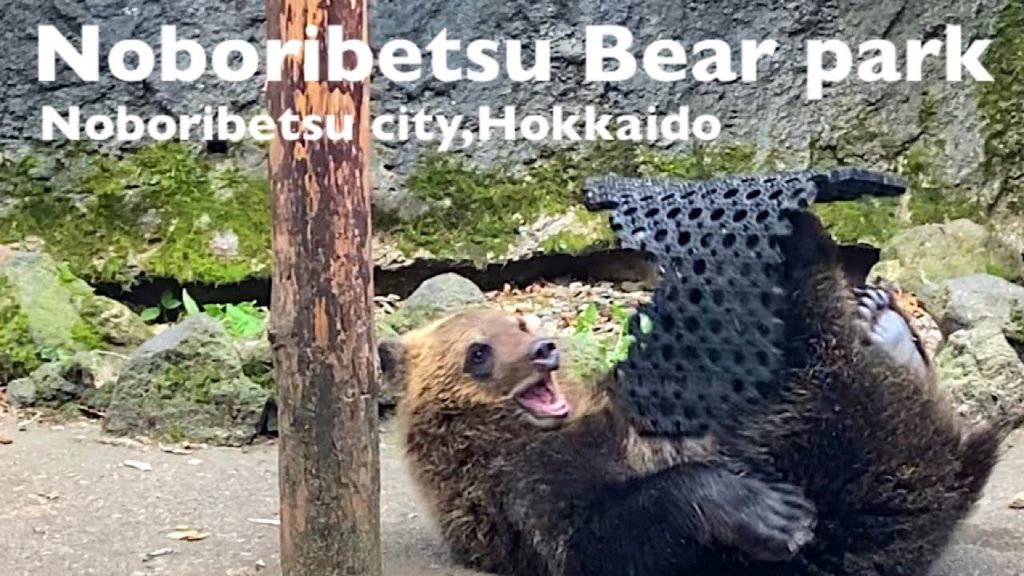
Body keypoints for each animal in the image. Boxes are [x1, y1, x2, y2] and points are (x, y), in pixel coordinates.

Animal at [378, 211, 1021, 576]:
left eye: (518, 322)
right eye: (478, 351)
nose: (544, 350)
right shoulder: (526, 490)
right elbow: (606, 533)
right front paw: (772, 513)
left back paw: (880, 317)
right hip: (848, 460)